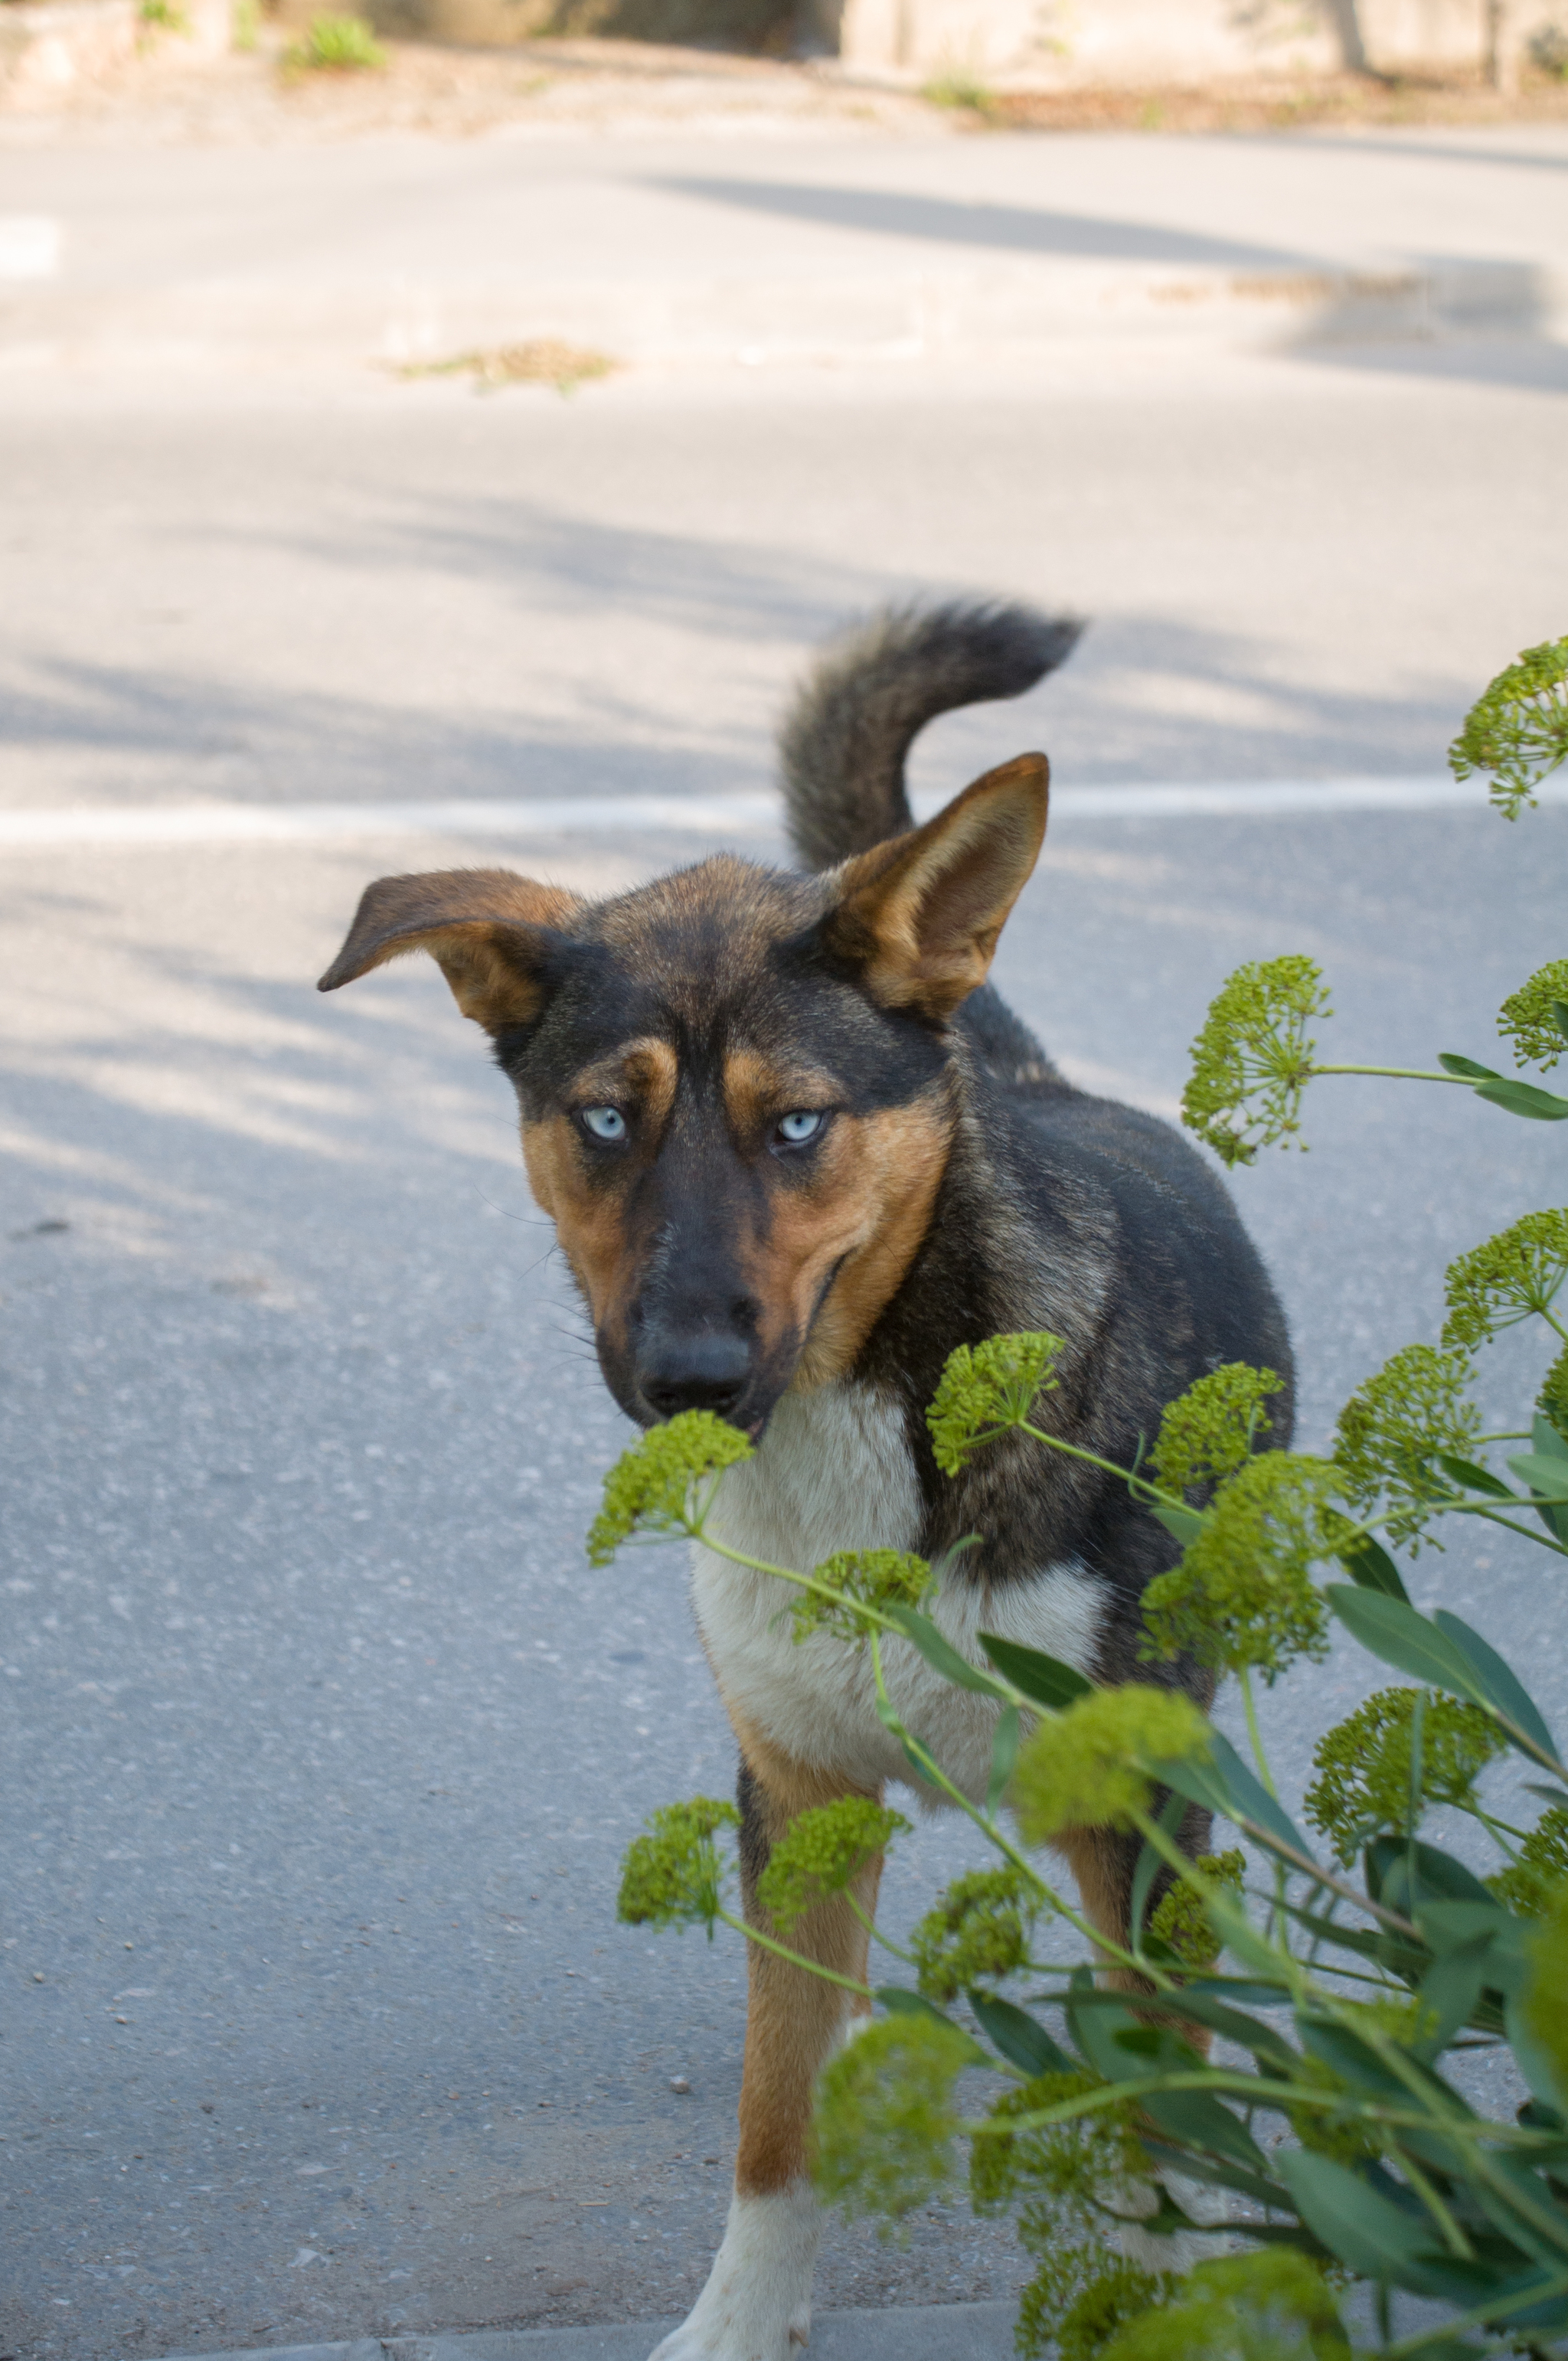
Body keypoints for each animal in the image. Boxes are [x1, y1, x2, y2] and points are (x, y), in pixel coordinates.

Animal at [321, 604, 1294, 2361]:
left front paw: (1182, 2271)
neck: (865, 1422)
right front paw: (744, 2317)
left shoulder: (1127, 1797)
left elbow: (1160, 2086)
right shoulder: (799, 1801)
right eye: (604, 1119)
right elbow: (775, 2113)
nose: (689, 1378)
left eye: (796, 1126)